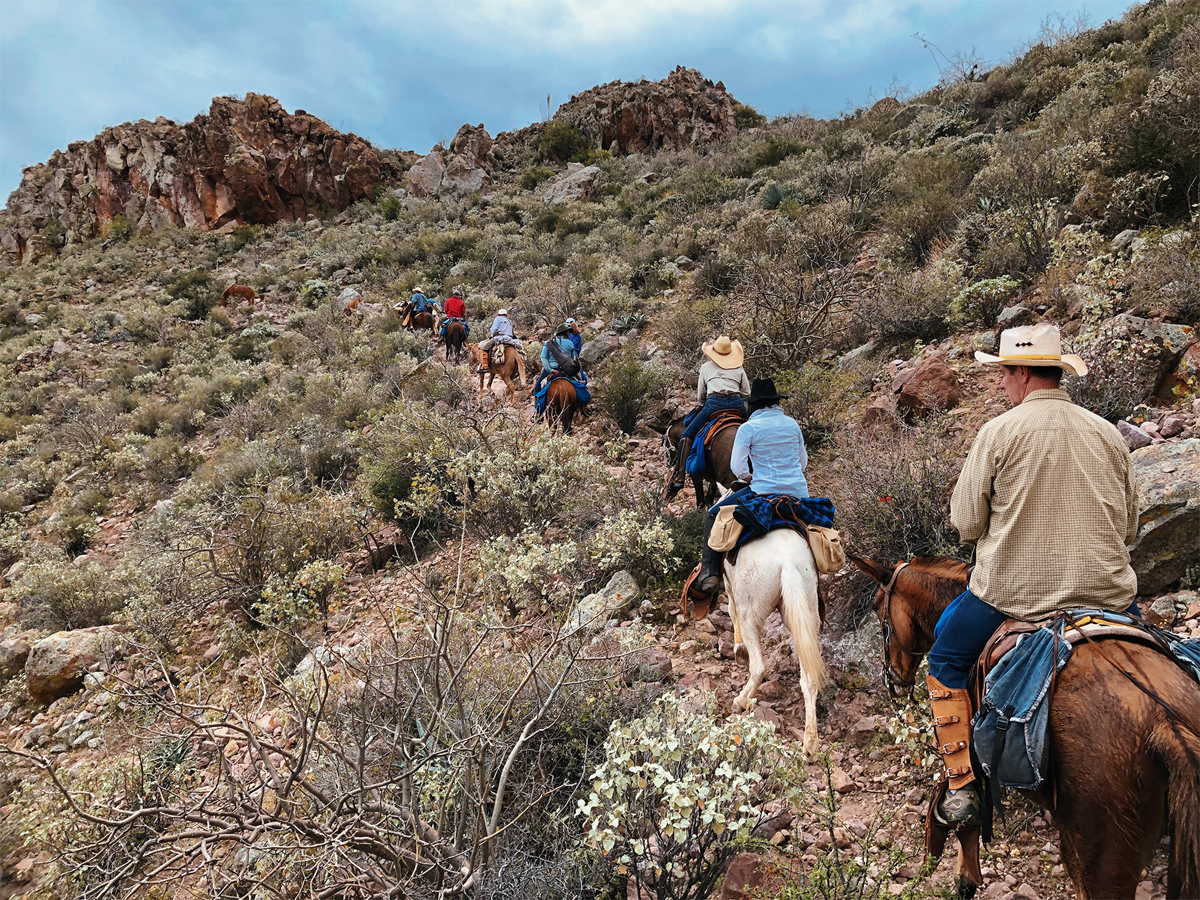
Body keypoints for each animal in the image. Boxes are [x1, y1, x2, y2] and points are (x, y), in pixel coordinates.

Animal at [720, 528, 825, 753]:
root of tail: (788, 562)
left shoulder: (729, 585)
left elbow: (731, 610)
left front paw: (738, 647)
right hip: (805, 614)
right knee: (809, 678)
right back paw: (810, 741)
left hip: (750, 615)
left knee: (759, 666)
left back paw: (740, 700)